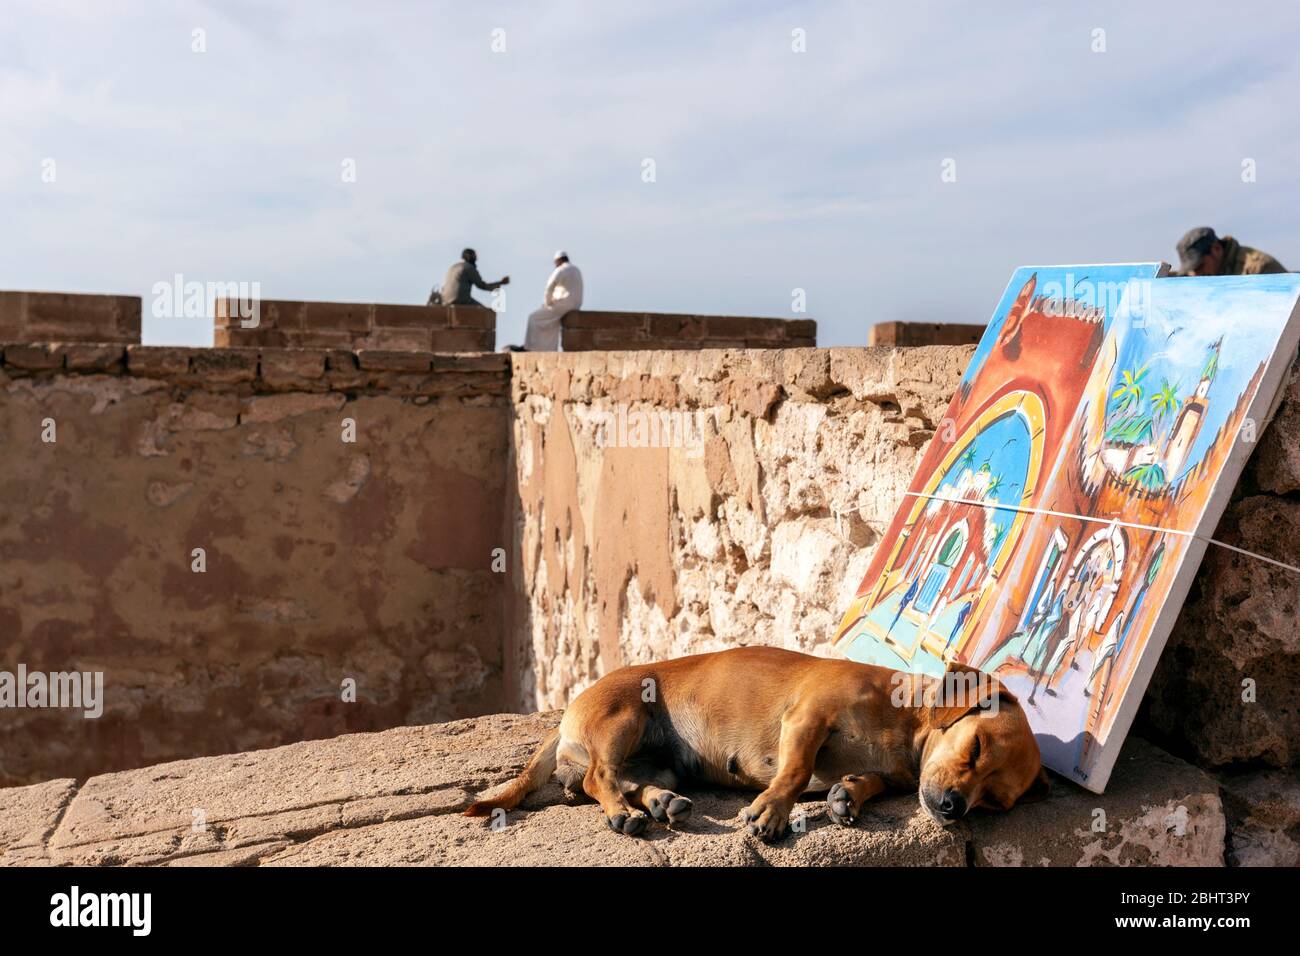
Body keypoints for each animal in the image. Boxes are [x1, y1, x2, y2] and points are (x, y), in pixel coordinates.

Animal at [465, 647, 1045, 842]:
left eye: (994, 802)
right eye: (975, 748)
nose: (953, 808)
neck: (904, 723)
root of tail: (569, 711)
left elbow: (871, 782)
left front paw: (850, 794)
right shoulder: (808, 718)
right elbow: (794, 771)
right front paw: (771, 812)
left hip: (662, 763)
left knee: (630, 780)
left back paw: (661, 802)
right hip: (623, 717)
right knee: (596, 777)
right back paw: (623, 814)